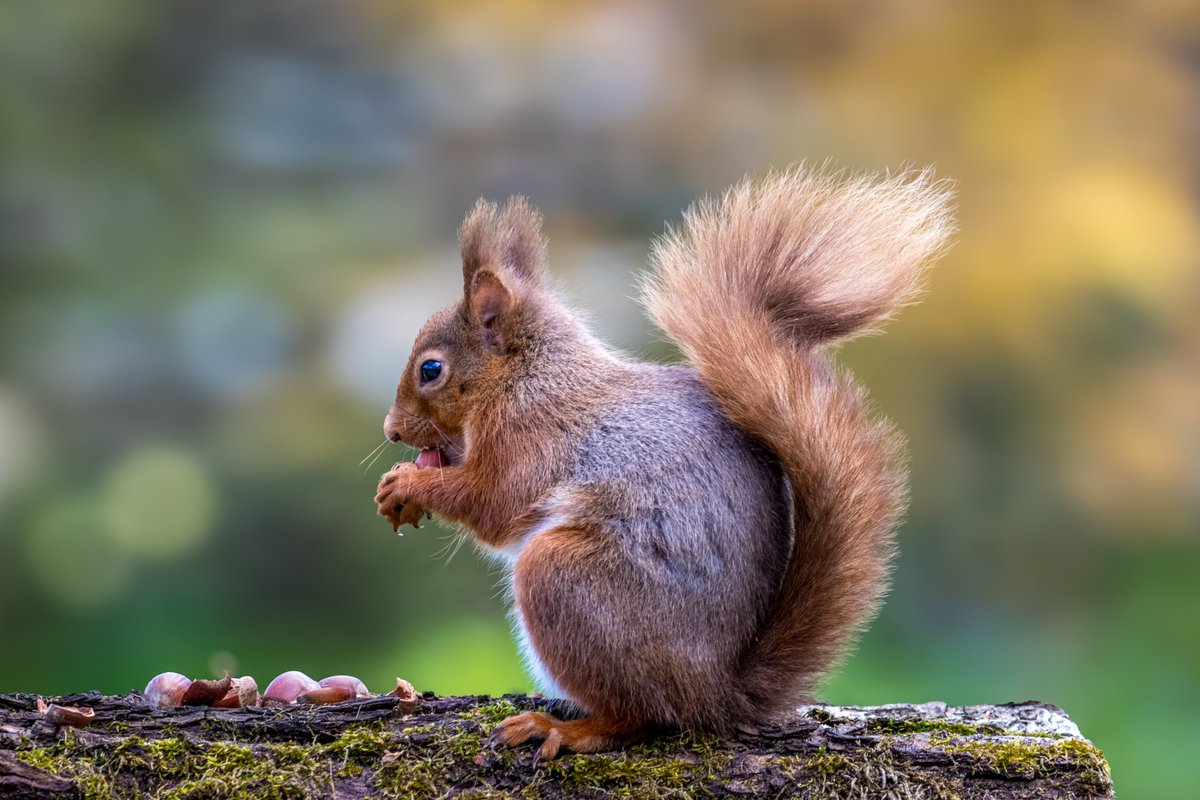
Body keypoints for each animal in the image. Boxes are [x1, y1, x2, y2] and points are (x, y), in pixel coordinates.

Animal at [374, 165, 955, 762]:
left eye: (431, 369)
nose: (391, 431)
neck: (526, 374)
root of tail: (715, 691)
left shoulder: (528, 436)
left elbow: (493, 503)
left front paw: (407, 486)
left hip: (564, 579)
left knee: (642, 716)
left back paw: (564, 728)